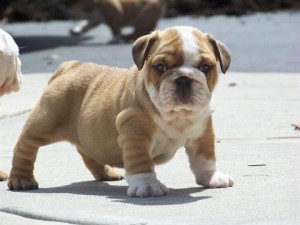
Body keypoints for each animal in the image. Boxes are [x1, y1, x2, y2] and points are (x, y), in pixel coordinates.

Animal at [6, 26, 232, 197]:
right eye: (160, 66)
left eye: (205, 67)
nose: (184, 78)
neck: (176, 115)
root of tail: (70, 66)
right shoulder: (135, 136)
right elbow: (141, 162)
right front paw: (148, 186)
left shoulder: (202, 135)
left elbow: (205, 159)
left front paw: (211, 177)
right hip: (46, 122)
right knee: (25, 145)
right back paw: (21, 179)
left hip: (88, 135)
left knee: (88, 152)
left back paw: (107, 173)